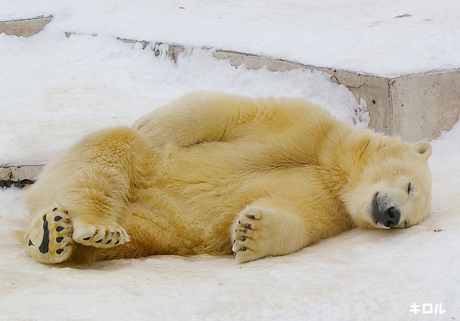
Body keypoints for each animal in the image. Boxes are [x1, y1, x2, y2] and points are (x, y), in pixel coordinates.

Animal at [22, 91, 432, 264]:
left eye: (409, 223)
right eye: (410, 185)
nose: (392, 215)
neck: (331, 166)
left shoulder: (330, 204)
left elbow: (297, 217)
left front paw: (249, 233)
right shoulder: (307, 129)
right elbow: (225, 110)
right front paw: (152, 128)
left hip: (157, 226)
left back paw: (54, 238)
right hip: (119, 172)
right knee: (110, 152)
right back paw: (86, 226)